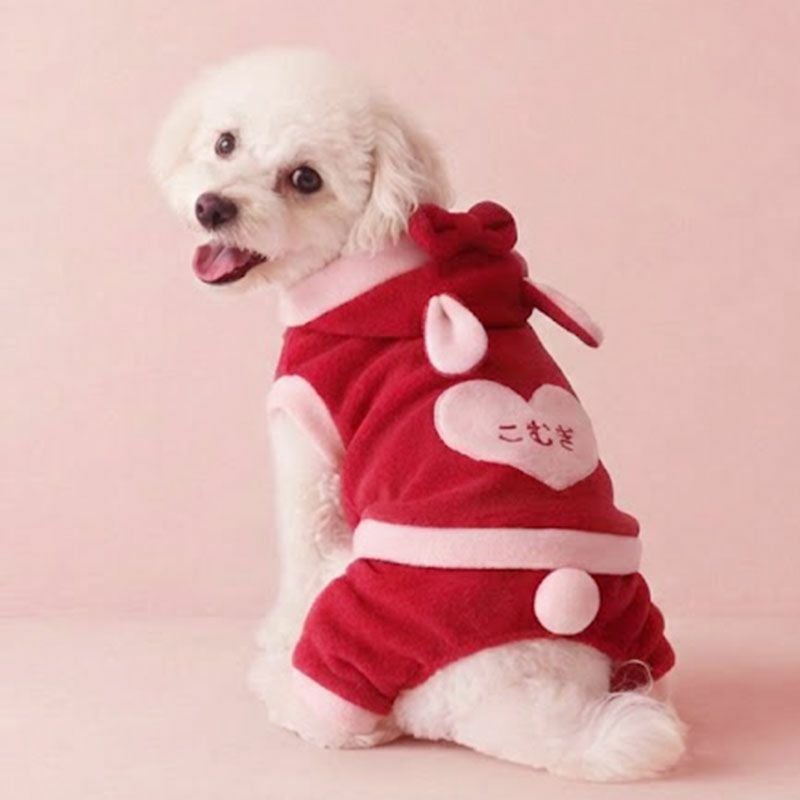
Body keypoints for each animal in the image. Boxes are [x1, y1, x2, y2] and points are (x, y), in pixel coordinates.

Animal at [151, 48, 686, 781]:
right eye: (224, 142)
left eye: (305, 179)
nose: (213, 206)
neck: (366, 260)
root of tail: (531, 682)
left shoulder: (309, 444)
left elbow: (297, 556)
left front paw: (272, 638)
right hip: (637, 626)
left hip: (362, 607)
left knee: (350, 712)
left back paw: (285, 689)